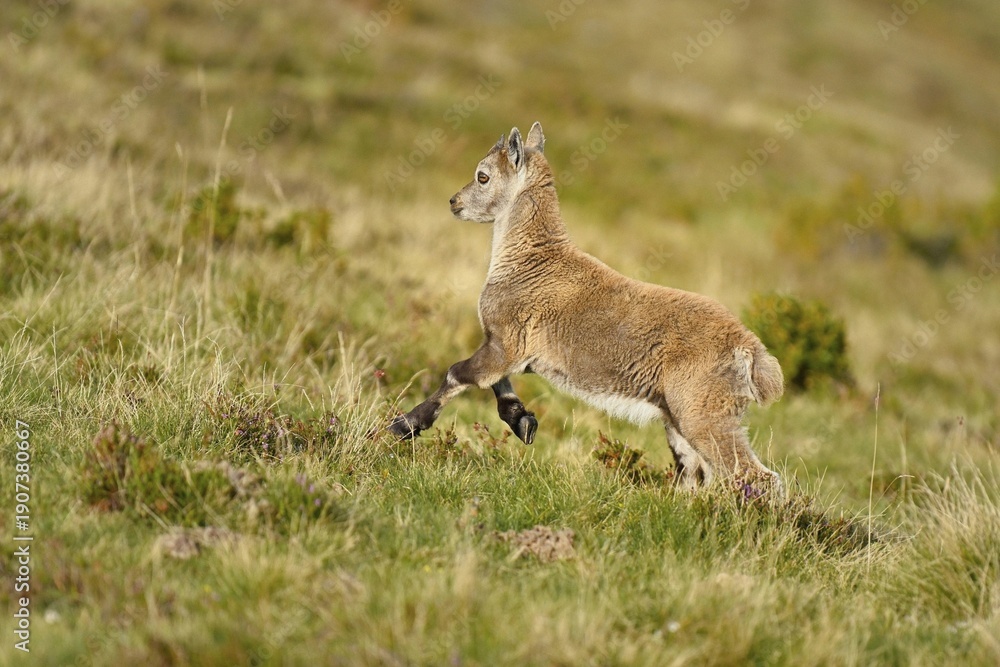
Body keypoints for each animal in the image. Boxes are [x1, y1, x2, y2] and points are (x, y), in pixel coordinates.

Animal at [389, 122, 784, 492]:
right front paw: (523, 421)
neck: (531, 262)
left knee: (757, 476)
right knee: (695, 470)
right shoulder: (514, 351)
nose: (454, 202)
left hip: (702, 412)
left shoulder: (506, 342)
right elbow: (497, 381)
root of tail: (749, 349)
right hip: (679, 416)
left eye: (482, 175)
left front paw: (404, 426)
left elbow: (458, 373)